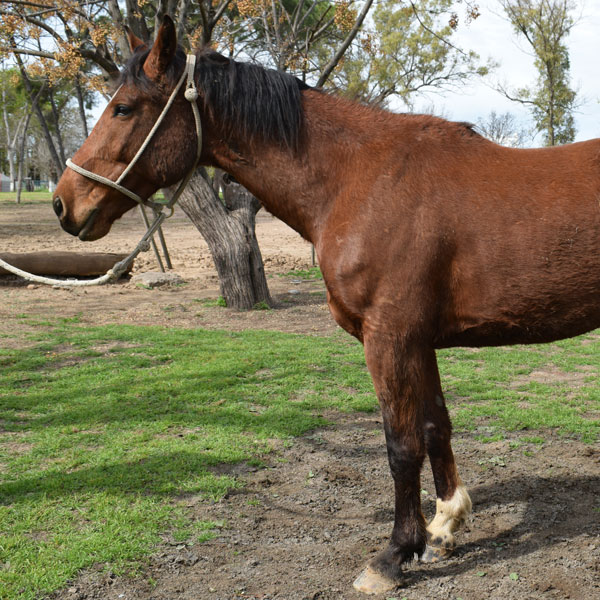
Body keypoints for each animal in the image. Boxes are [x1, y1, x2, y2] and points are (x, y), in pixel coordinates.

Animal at [53, 16, 600, 595]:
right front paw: (443, 527)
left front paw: (393, 555)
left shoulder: (390, 338)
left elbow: (401, 445)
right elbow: (435, 427)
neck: (360, 178)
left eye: (123, 108)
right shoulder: (416, 342)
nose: (64, 203)